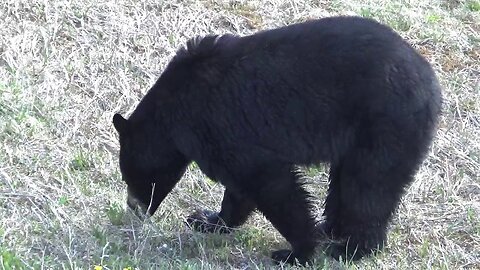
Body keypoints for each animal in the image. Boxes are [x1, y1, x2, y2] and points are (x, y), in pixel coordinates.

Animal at [112, 15, 442, 264]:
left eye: (132, 177)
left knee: (367, 187)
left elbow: (271, 184)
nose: (133, 208)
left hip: (385, 125)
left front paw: (296, 252)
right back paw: (330, 229)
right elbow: (239, 190)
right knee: (346, 184)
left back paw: (350, 249)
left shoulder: (223, 126)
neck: (175, 113)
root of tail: (432, 86)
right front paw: (206, 220)